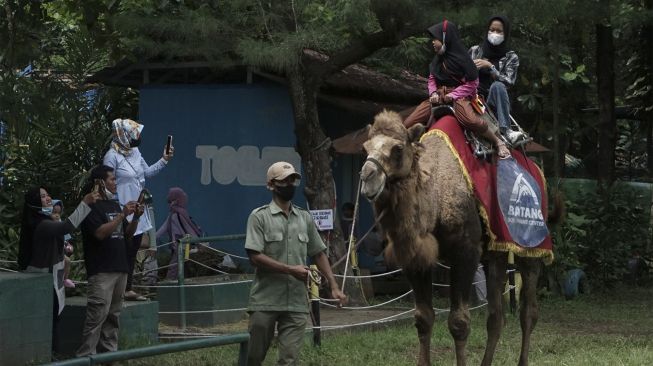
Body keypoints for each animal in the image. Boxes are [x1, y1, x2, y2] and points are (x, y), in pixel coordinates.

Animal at [360, 111, 548, 366]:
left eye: (397, 148)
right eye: (365, 147)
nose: (367, 177)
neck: (436, 199)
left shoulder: (465, 252)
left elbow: (459, 322)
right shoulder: (416, 258)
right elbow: (423, 318)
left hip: (531, 245)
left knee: (528, 311)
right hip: (495, 253)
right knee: (496, 315)